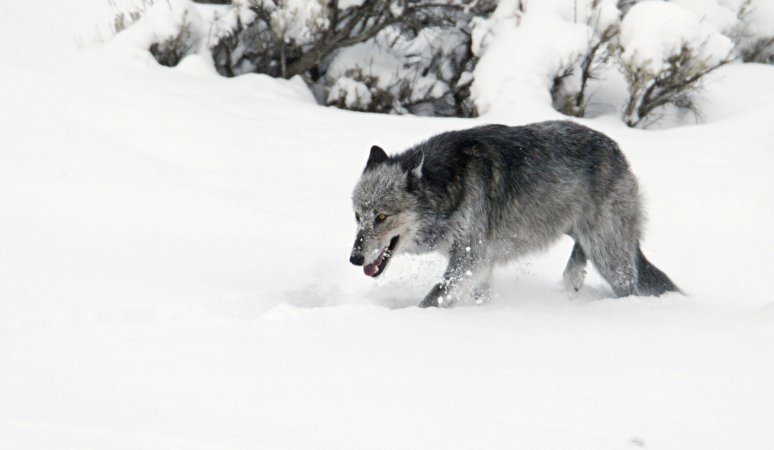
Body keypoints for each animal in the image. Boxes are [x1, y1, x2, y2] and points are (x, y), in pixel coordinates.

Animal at [350, 121, 680, 308]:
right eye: (357, 216)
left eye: (382, 217)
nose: (354, 258)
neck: (448, 185)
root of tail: (617, 151)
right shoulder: (477, 264)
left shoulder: (471, 259)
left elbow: (432, 298)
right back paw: (573, 277)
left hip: (609, 255)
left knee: (628, 286)